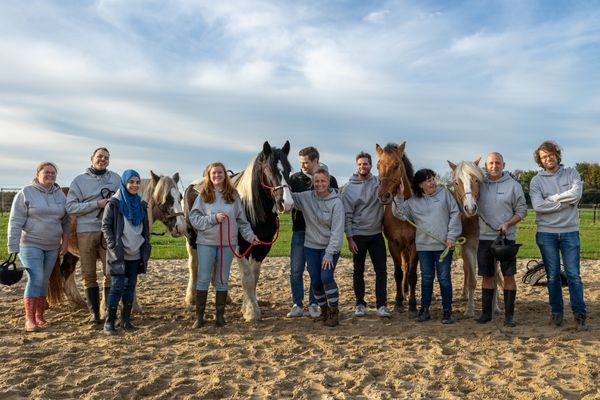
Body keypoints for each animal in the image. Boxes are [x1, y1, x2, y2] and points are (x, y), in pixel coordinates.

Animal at [184, 141, 294, 322]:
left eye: (289, 169)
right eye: (269, 170)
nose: (287, 203)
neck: (251, 208)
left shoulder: (262, 247)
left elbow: (254, 277)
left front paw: (248, 305)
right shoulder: (240, 247)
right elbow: (247, 278)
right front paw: (251, 312)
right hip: (191, 238)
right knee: (194, 265)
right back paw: (191, 297)